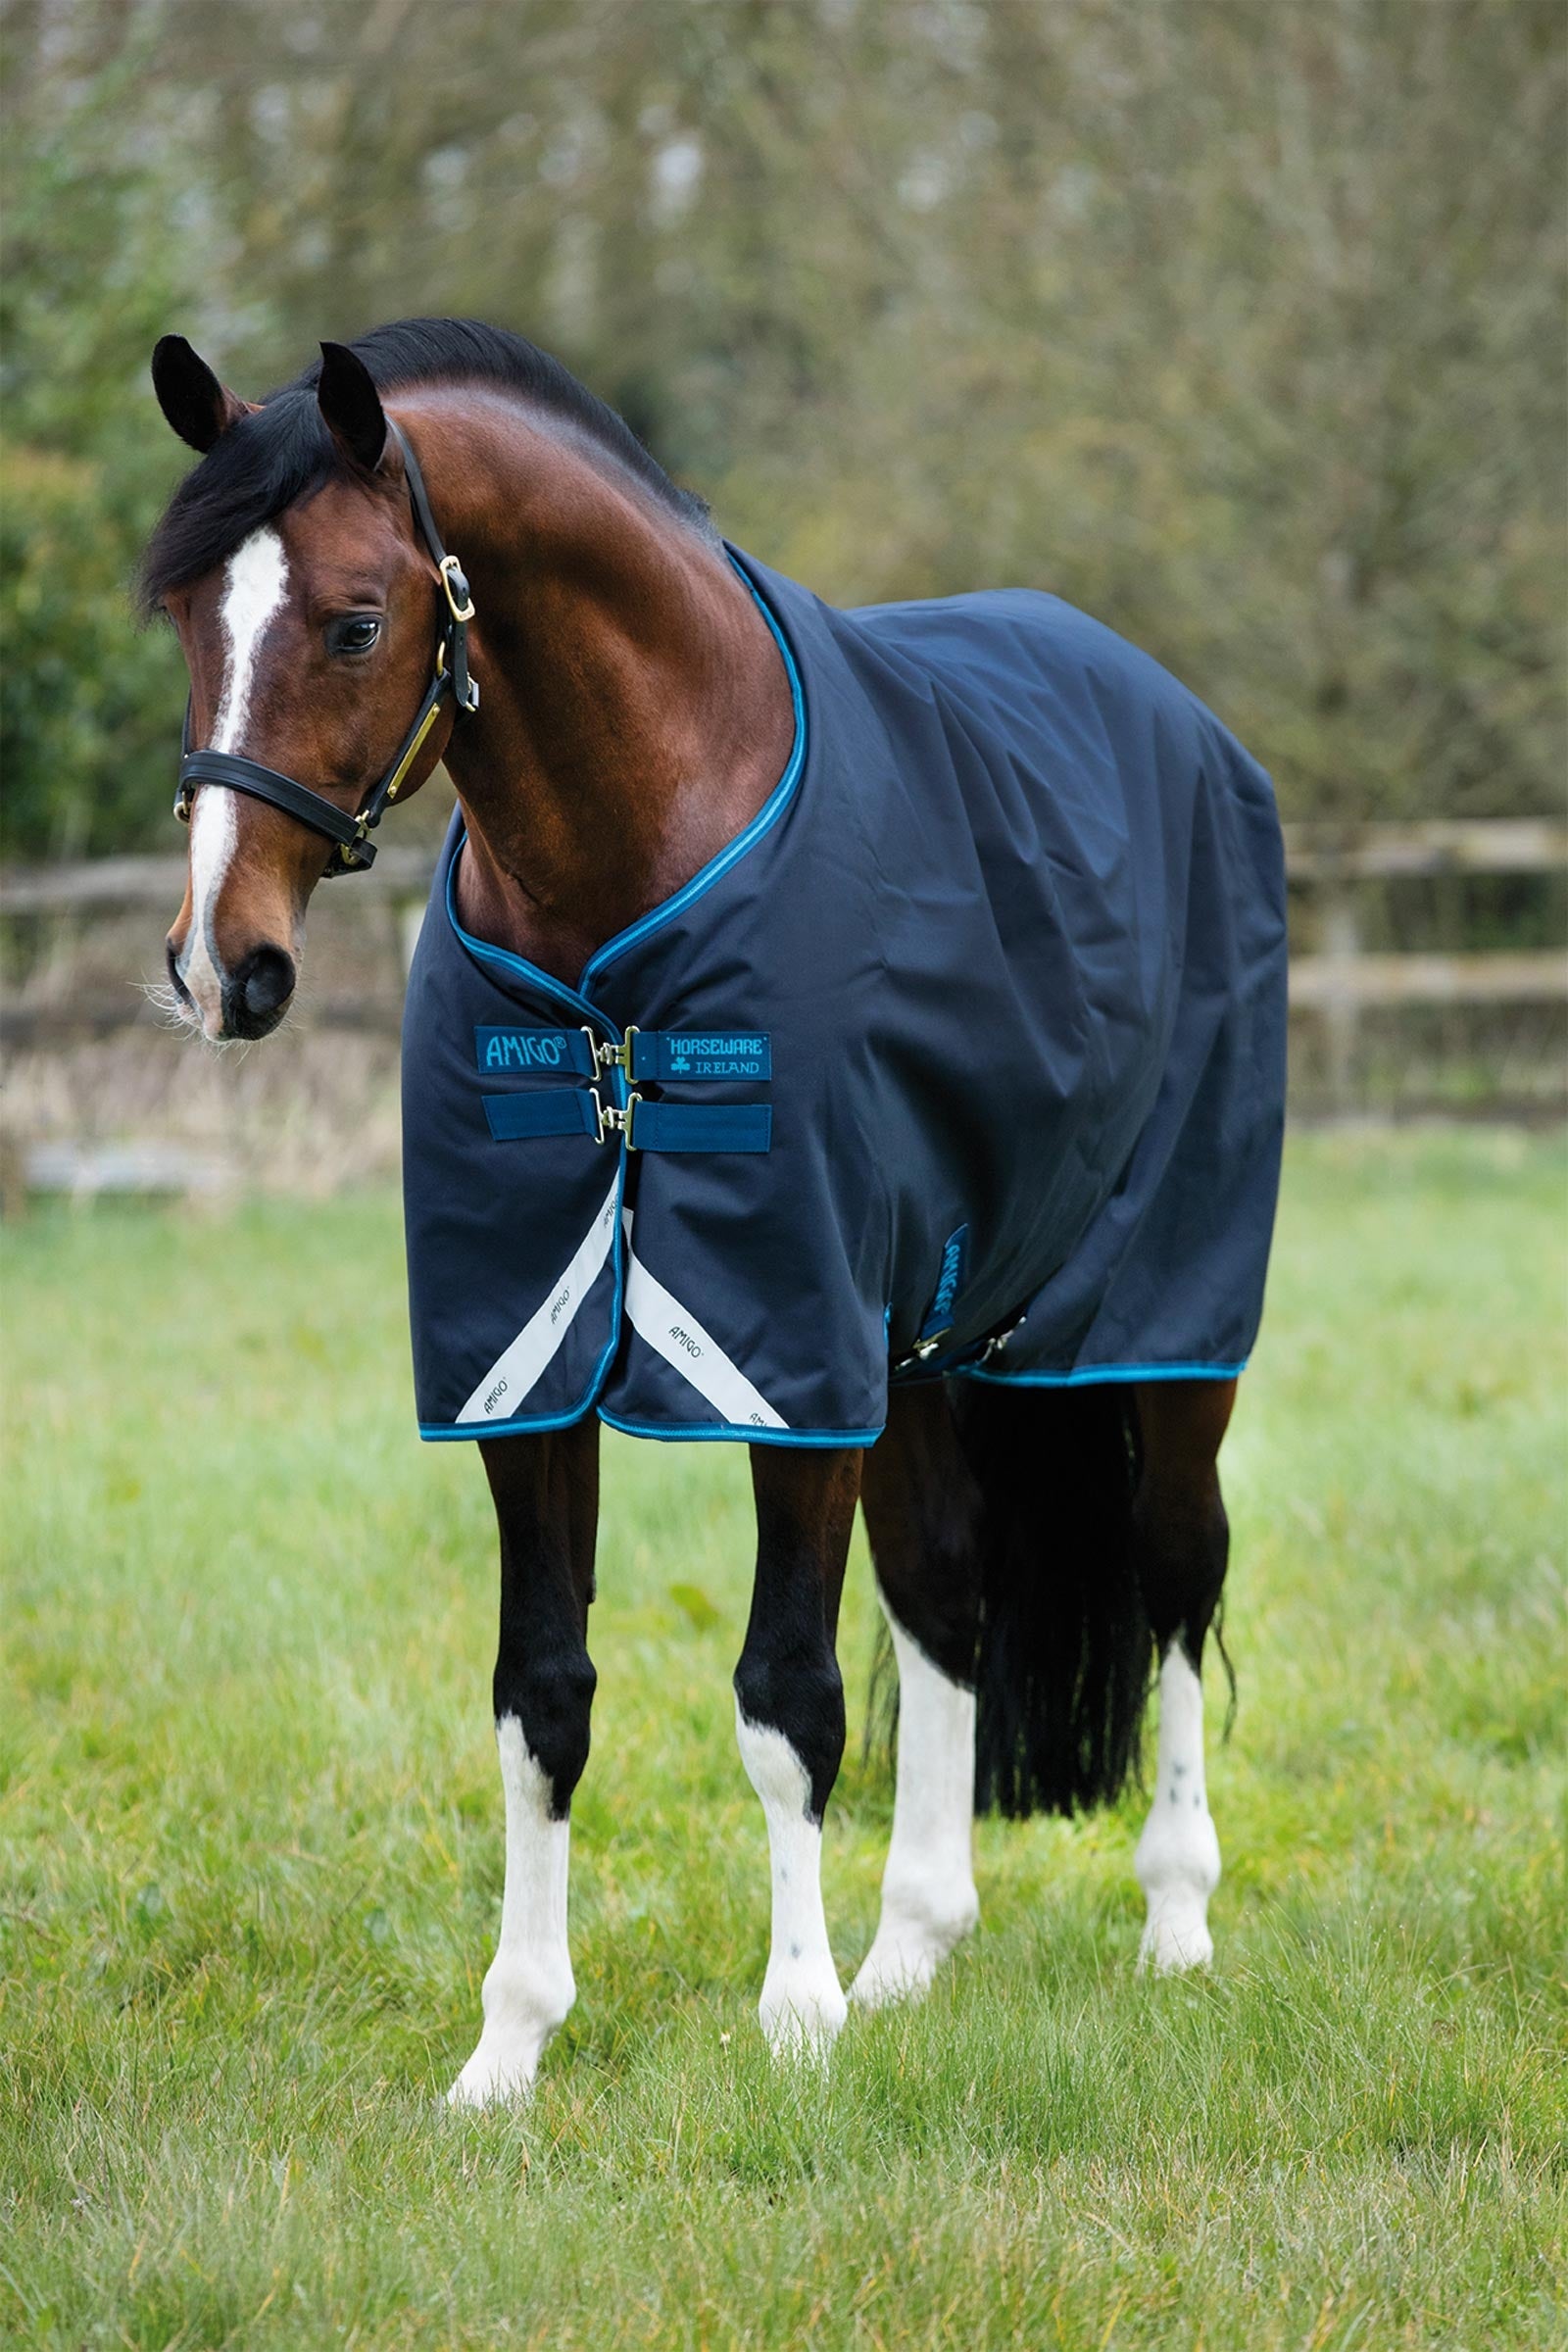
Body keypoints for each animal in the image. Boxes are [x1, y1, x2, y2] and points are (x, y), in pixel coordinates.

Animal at [142, 318, 1285, 2104]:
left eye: (354, 621)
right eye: (187, 616)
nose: (220, 966)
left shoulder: (786, 1348)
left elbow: (784, 1696)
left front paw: (797, 2022)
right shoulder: (530, 1359)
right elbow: (540, 1696)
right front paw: (510, 2047)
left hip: (1162, 1332)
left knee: (1177, 1572)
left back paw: (1173, 1921)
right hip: (927, 1347)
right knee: (950, 1590)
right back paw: (915, 1949)